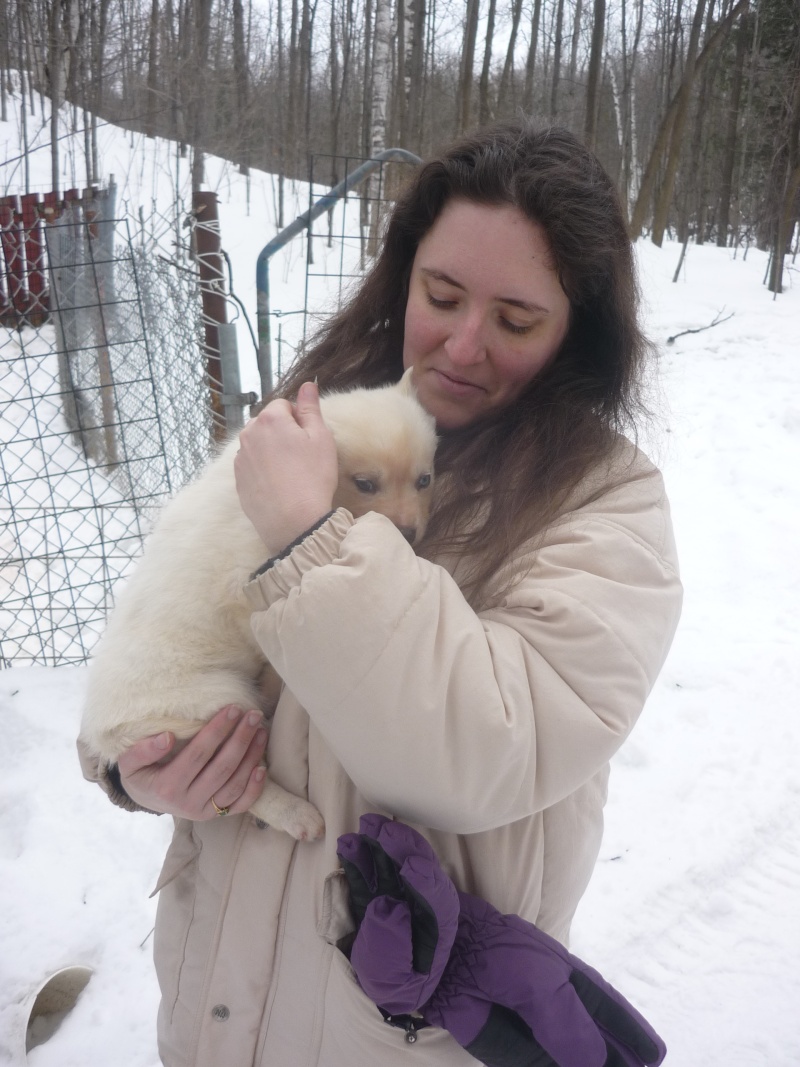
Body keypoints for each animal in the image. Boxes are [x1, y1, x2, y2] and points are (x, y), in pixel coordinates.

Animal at [80, 375, 439, 840]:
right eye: (365, 483)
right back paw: (298, 815)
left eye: (425, 479)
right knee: (248, 788)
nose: (409, 536)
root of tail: (102, 736)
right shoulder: (244, 588)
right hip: (209, 704)